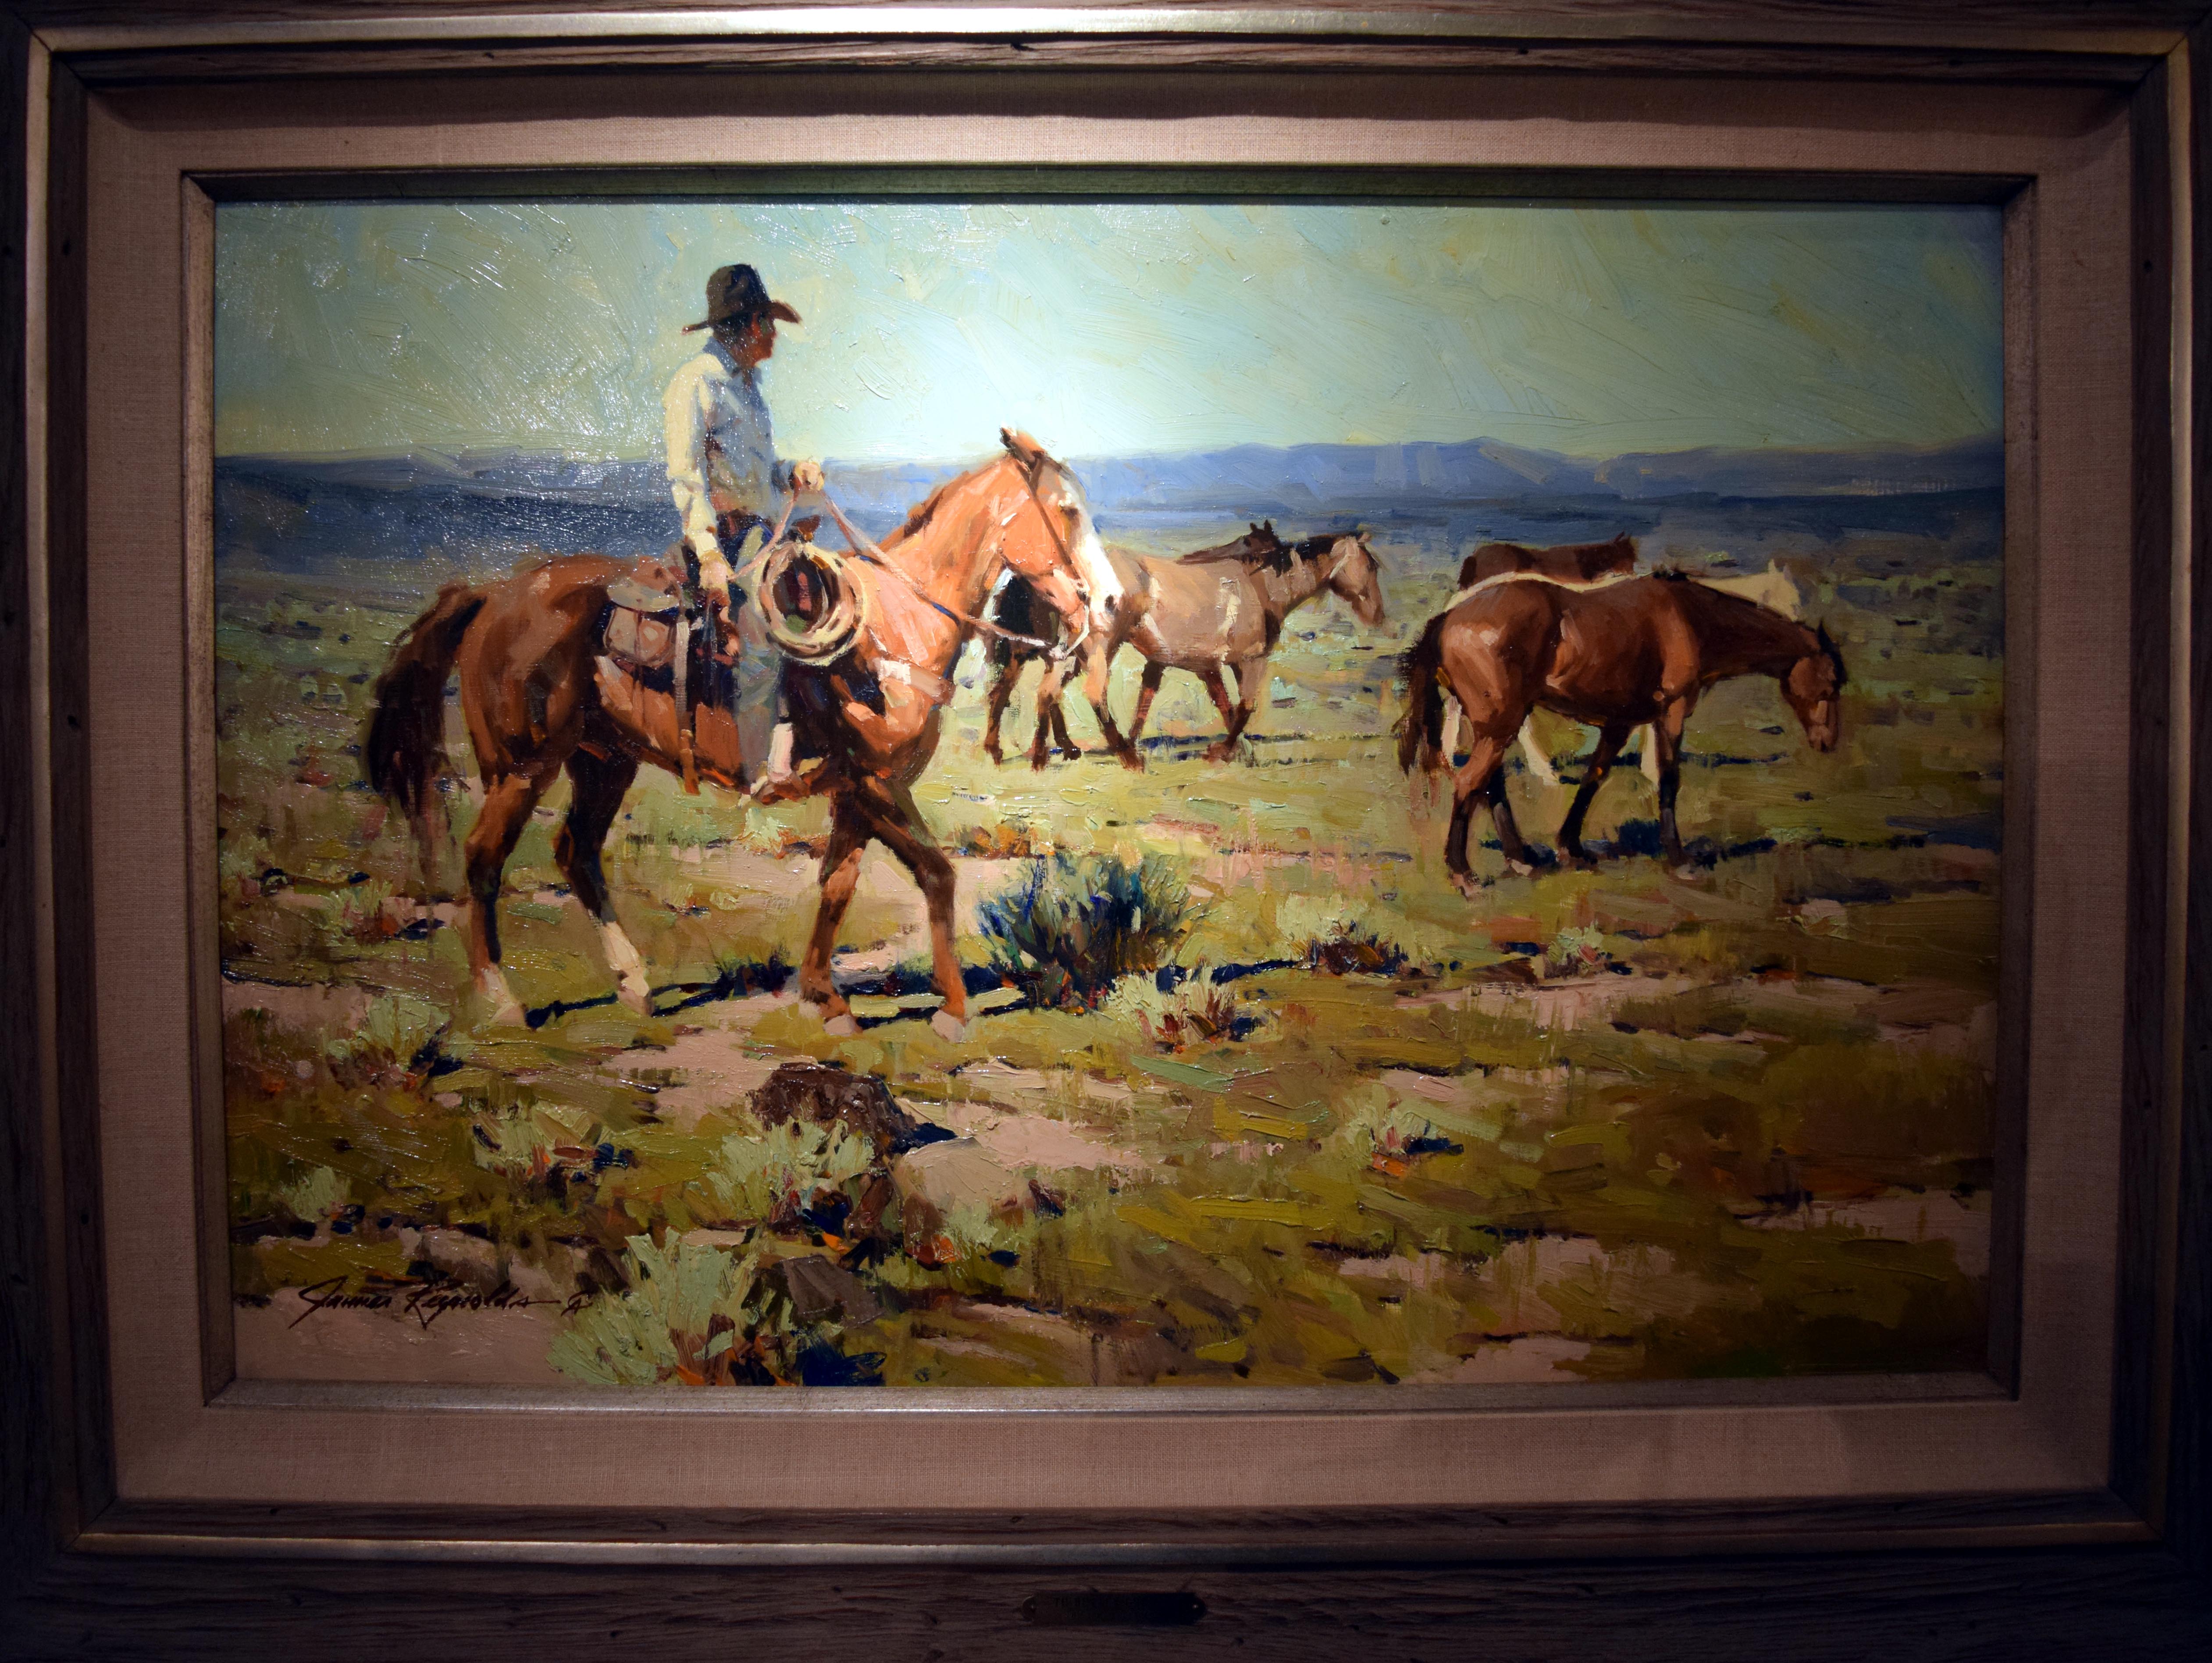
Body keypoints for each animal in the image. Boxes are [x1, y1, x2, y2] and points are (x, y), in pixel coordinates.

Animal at [365, 429, 1113, 1039]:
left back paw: (634, 984)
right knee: (484, 861)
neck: (898, 623)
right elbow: (938, 873)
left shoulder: (856, 792)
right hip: (521, 768)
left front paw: (825, 1000)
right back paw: (501, 999)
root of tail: (491, 594)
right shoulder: (877, 784)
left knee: (576, 851)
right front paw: (953, 1012)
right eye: (1068, 510)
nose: (1106, 602)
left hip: (603, 761)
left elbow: (837, 883)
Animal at [978, 522, 1285, 767]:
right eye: (1275, 548)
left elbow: (1151, 697)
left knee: (1015, 691)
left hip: (1041, 653)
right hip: (1076, 651)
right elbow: (1234, 703)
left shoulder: (1172, 661)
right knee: (1070, 692)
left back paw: (1017, 751)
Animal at [1396, 571, 1845, 893]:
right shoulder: (1671, 713)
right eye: (1831, 682)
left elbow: (1593, 780)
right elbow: (1668, 780)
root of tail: (1447, 619)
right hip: (1499, 726)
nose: (1828, 741)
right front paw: (1679, 860)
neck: (1689, 615)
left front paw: (1571, 848)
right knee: (1469, 784)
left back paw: (1520, 858)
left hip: (1496, 726)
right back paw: (1463, 874)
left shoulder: (1620, 722)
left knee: (1490, 785)